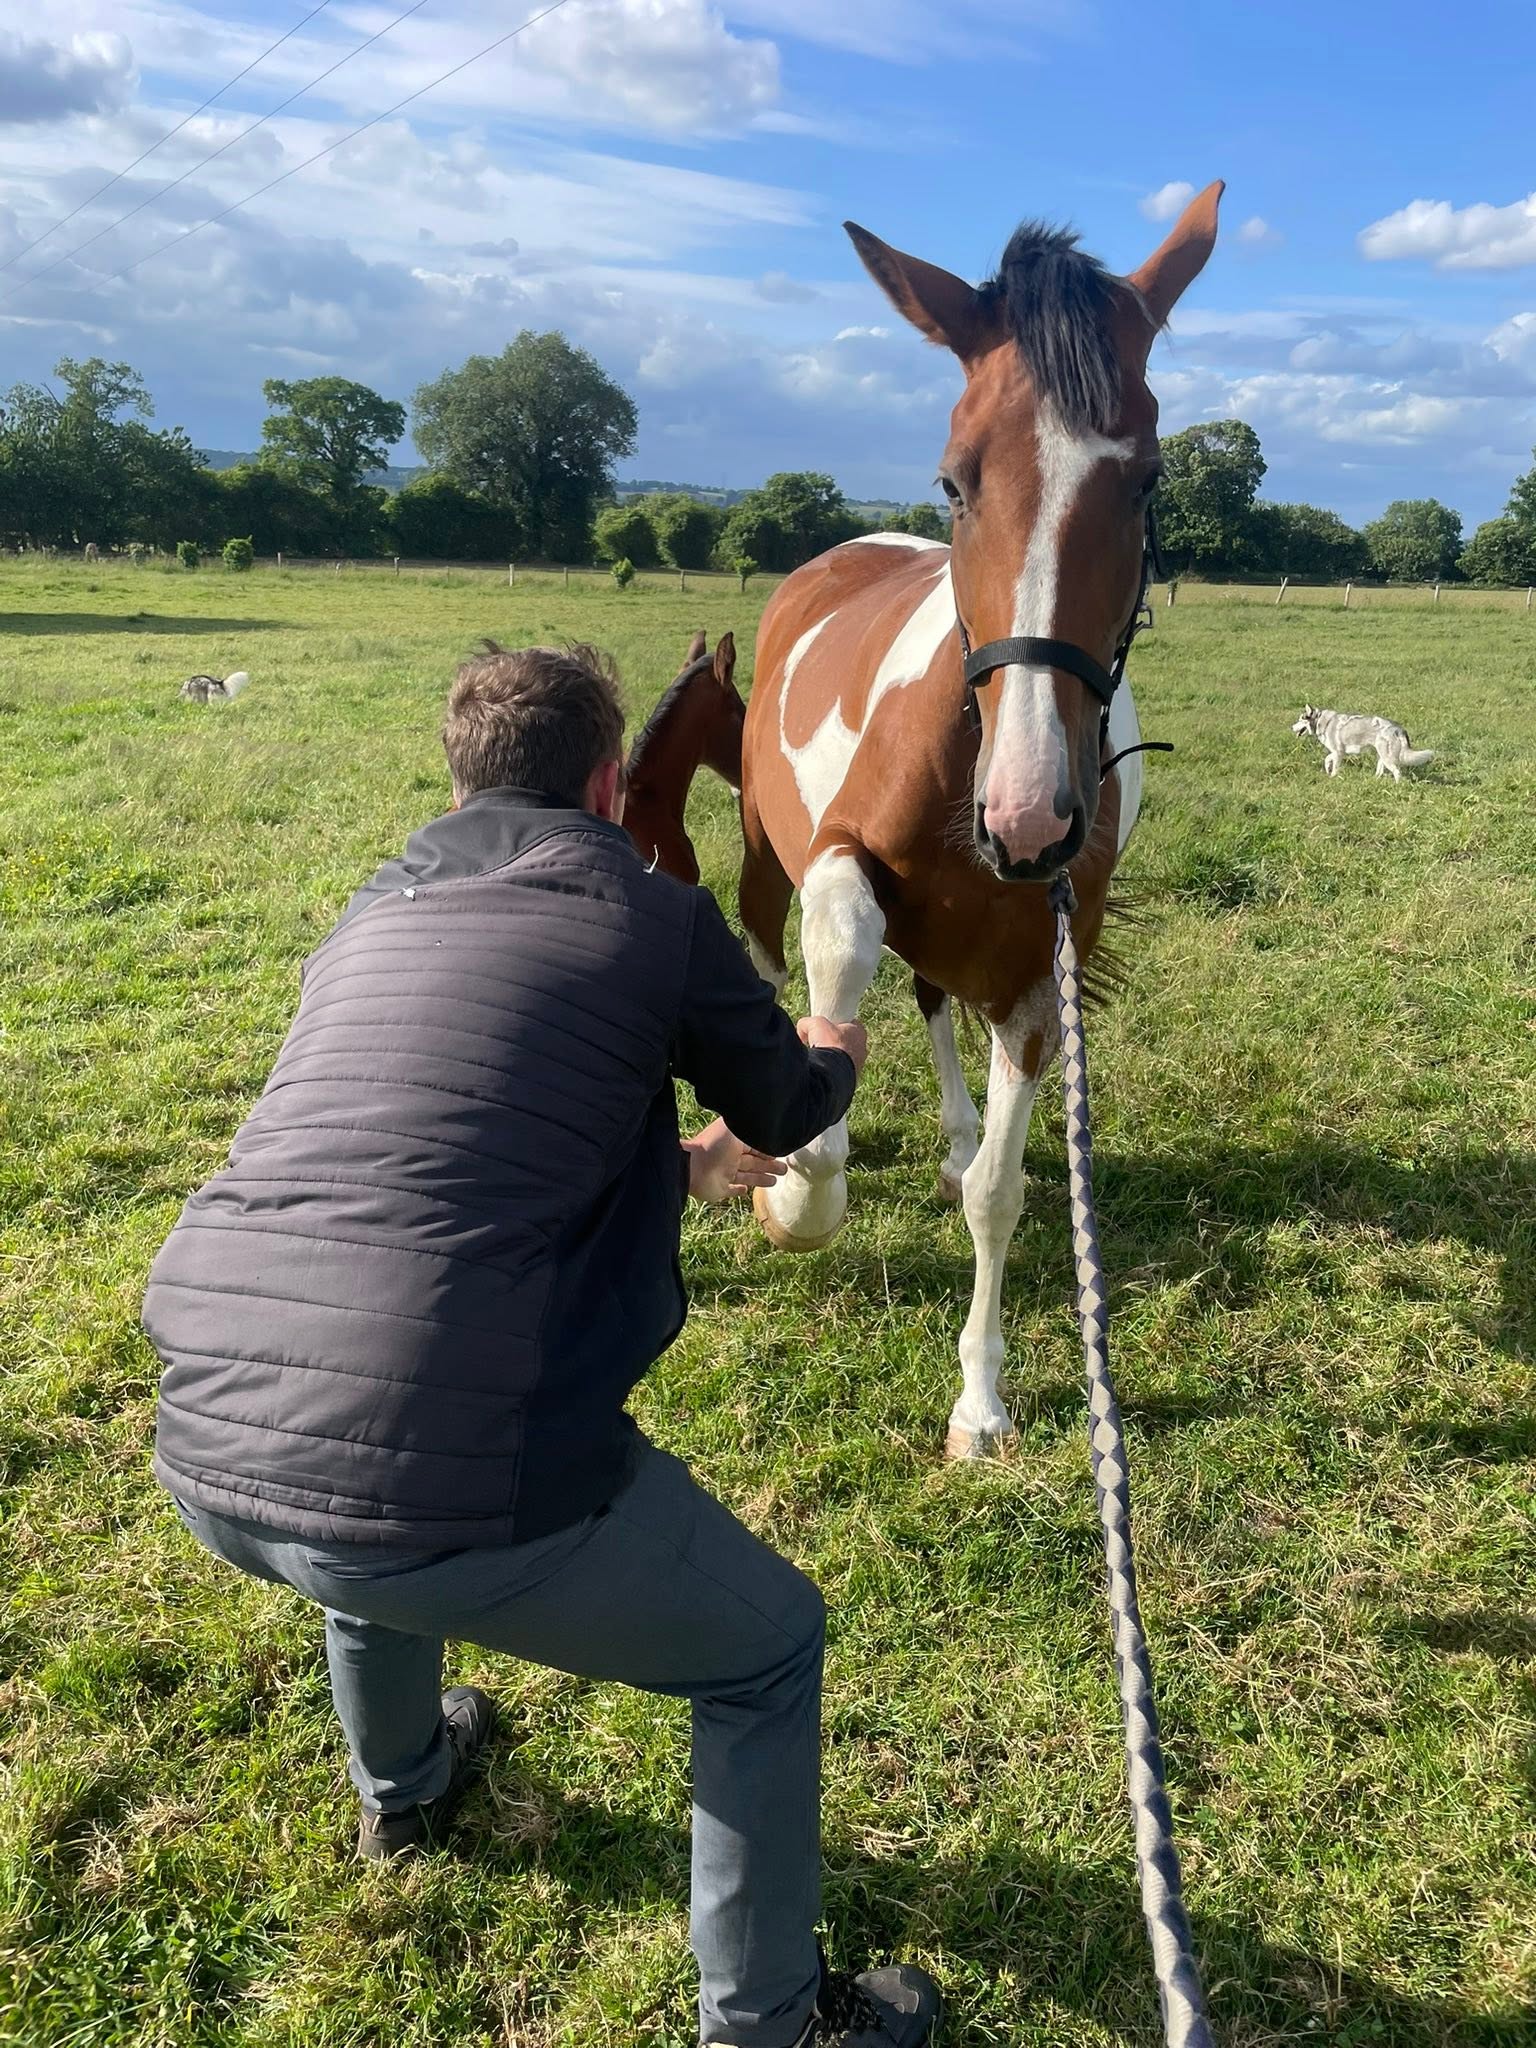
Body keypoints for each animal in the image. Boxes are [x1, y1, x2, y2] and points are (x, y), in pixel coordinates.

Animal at [738, 183, 1224, 1458]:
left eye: (1147, 480)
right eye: (955, 479)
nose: (1029, 816)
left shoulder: (1039, 967)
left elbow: (998, 1191)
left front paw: (981, 1397)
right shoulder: (842, 865)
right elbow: (840, 967)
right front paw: (798, 1192)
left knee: (934, 1013)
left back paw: (956, 1131)